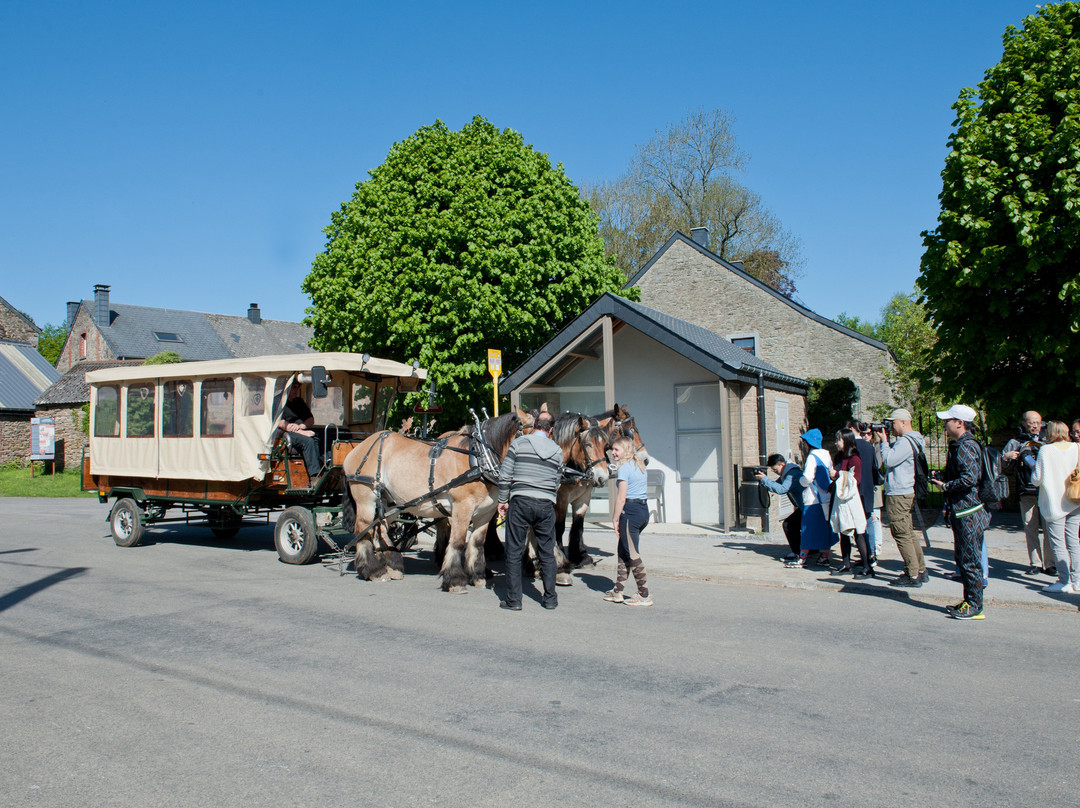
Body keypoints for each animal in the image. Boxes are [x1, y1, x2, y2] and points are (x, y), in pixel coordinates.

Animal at [339, 412, 520, 591]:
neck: (480, 459)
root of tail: (360, 447)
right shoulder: (462, 507)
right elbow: (457, 542)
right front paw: (455, 579)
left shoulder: (485, 512)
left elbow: (477, 543)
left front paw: (478, 576)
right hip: (366, 498)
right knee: (363, 529)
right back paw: (373, 570)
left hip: (391, 503)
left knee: (380, 528)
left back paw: (393, 566)